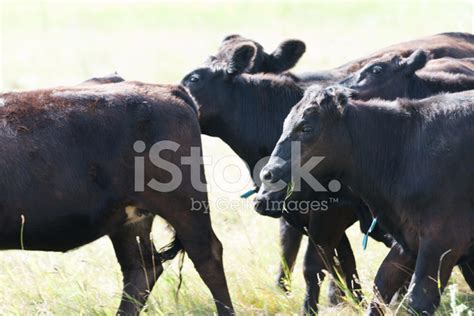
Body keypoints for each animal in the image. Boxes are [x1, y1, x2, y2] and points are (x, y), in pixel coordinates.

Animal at [260, 85, 474, 314]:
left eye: (306, 128)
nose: (267, 174)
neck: (403, 152)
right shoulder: (408, 241)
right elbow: (382, 284)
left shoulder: (441, 242)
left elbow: (419, 300)